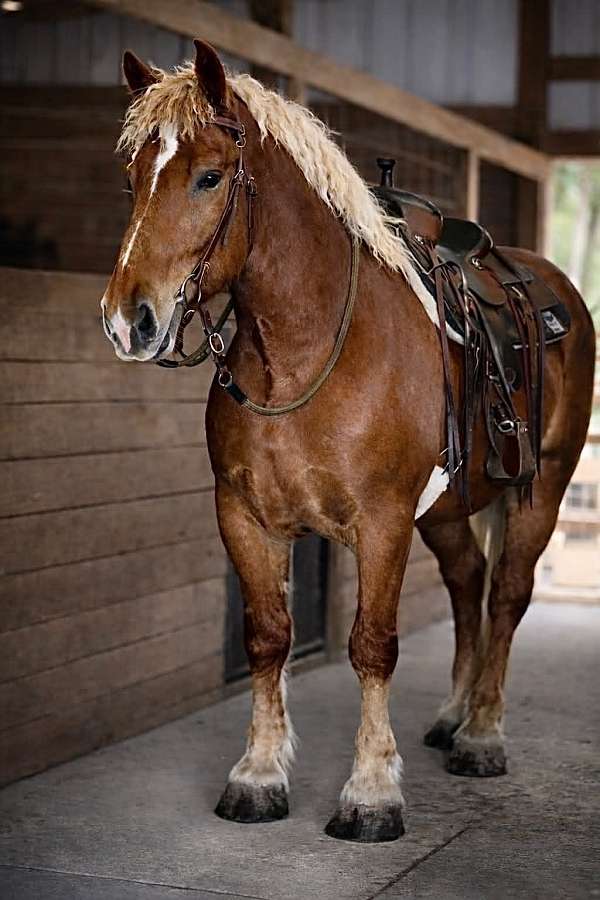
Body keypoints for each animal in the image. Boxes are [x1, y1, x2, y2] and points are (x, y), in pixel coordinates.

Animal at [101, 40, 596, 843]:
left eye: (209, 176)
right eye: (132, 176)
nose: (127, 320)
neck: (304, 353)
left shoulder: (382, 523)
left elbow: (372, 644)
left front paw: (370, 793)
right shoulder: (243, 518)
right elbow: (268, 636)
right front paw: (258, 775)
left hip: (541, 488)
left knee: (507, 595)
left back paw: (482, 735)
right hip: (447, 512)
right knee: (467, 583)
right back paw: (452, 715)